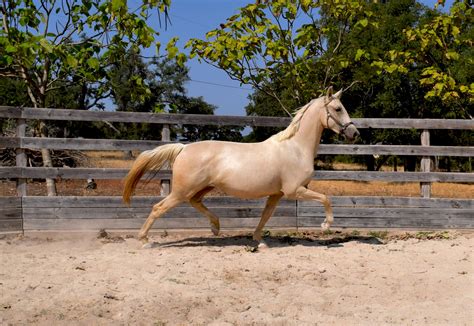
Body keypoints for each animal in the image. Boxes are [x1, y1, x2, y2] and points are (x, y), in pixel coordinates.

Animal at [123, 86, 360, 247]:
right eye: (338, 108)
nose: (354, 133)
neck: (295, 147)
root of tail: (183, 148)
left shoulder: (276, 194)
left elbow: (265, 216)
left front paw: (258, 241)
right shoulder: (294, 191)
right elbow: (326, 198)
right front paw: (326, 225)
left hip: (202, 187)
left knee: (195, 202)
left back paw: (215, 227)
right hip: (182, 190)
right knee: (158, 208)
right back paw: (144, 240)